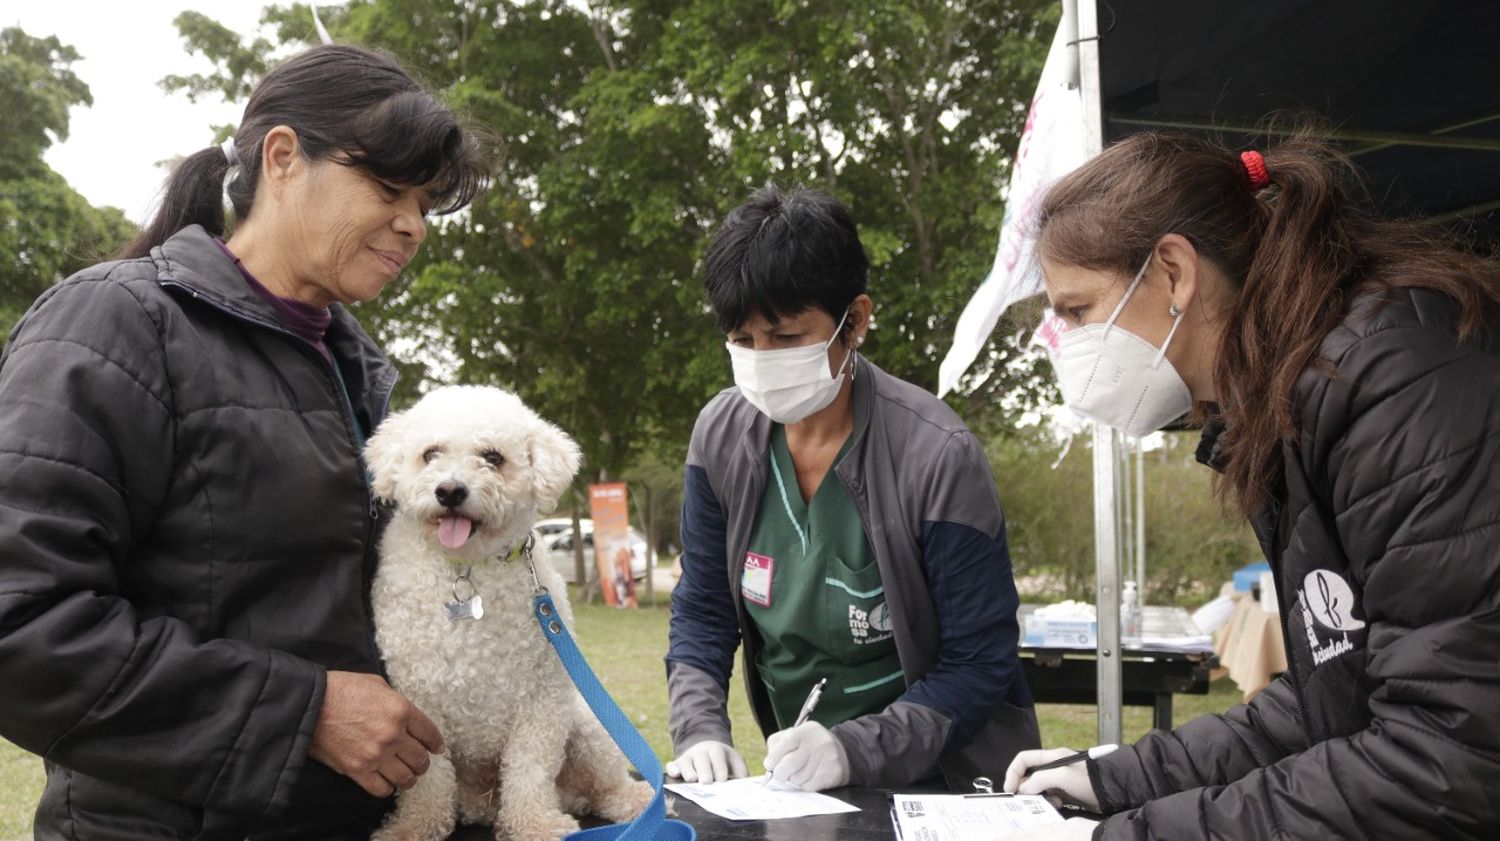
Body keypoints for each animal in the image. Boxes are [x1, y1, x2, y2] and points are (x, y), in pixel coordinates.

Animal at [366, 386, 654, 839]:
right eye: (430, 454)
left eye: (493, 457)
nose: (450, 490)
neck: (467, 569)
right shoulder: (419, 702)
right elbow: (429, 779)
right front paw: (413, 826)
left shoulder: (542, 699)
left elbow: (530, 770)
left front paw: (535, 824)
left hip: (586, 725)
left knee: (605, 785)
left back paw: (637, 802)